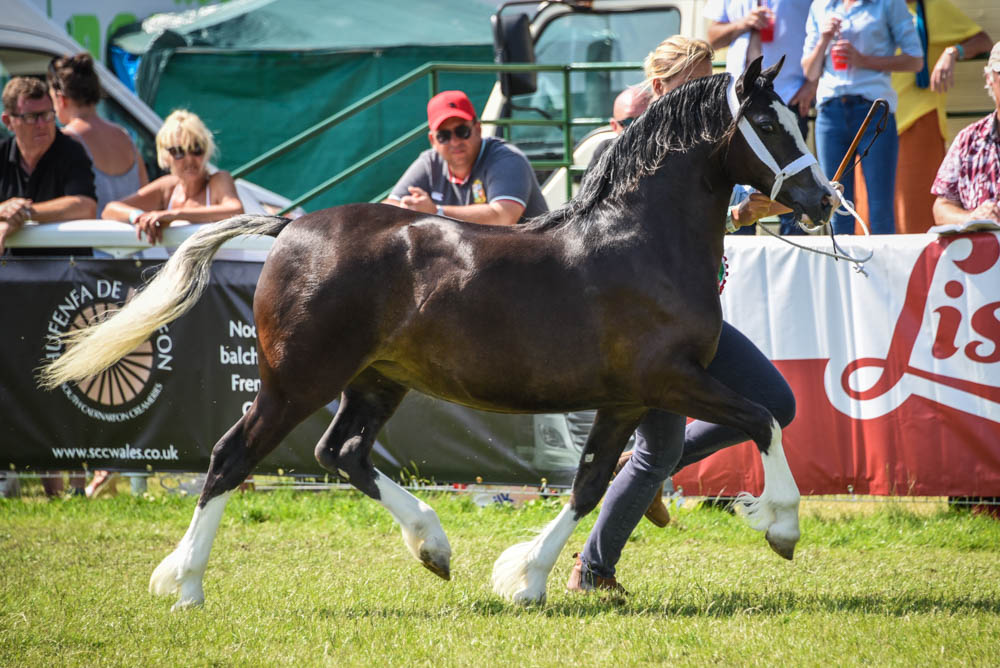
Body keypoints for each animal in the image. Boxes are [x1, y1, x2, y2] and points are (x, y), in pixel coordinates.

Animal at [41, 60, 836, 608]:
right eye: (771, 126)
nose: (823, 199)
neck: (638, 244)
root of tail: (290, 227)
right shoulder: (668, 380)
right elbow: (762, 419)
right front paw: (781, 527)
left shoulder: (626, 399)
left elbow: (588, 485)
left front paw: (525, 577)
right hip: (297, 381)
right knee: (232, 457)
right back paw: (187, 585)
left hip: (373, 383)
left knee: (342, 453)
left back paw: (432, 544)